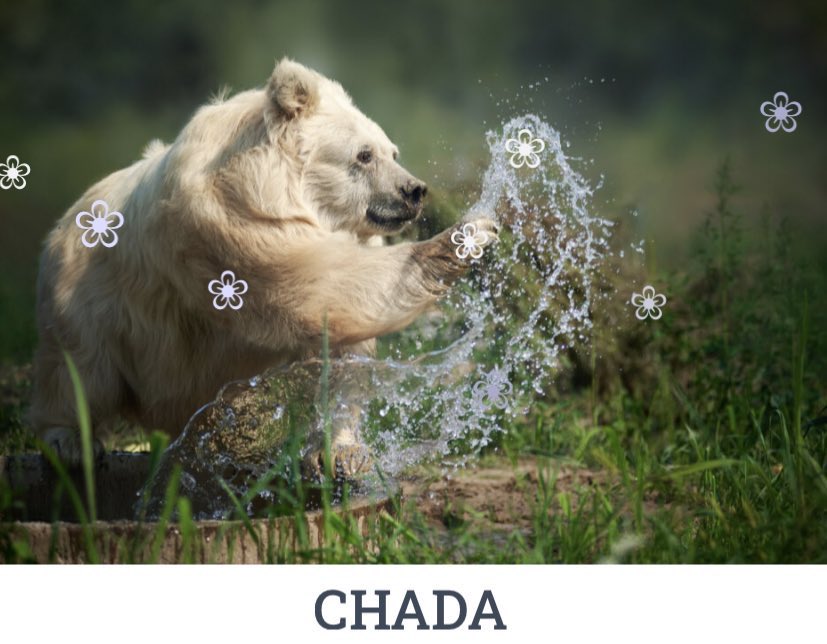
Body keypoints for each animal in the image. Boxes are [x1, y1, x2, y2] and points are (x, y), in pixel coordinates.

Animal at [29, 58, 498, 476]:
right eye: (364, 155)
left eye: (392, 150)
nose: (413, 190)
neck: (264, 184)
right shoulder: (230, 226)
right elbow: (315, 287)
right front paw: (469, 234)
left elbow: (339, 353)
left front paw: (342, 453)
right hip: (90, 301)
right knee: (80, 372)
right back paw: (72, 443)